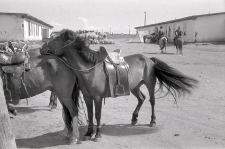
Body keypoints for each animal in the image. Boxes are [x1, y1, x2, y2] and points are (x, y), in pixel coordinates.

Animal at [40, 28, 199, 142]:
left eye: (55, 39)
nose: (42, 48)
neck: (89, 69)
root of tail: (149, 60)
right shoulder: (87, 97)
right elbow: (90, 115)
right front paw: (88, 133)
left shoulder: (98, 98)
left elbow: (97, 115)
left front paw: (98, 134)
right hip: (134, 87)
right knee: (141, 98)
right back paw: (134, 118)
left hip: (150, 84)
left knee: (152, 101)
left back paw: (152, 121)